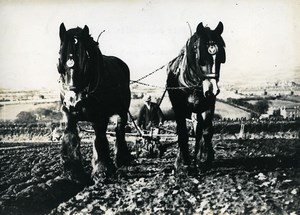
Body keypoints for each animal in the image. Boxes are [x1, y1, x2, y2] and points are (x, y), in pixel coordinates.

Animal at [57, 23, 132, 181]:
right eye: (61, 56)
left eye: (86, 58)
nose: (72, 100)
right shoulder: (69, 115)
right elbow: (70, 137)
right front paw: (73, 171)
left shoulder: (100, 117)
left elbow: (99, 140)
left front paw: (102, 170)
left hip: (122, 111)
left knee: (120, 130)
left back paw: (122, 158)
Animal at [166, 21, 225, 170]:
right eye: (201, 59)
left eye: (221, 58)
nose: (212, 90)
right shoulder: (179, 108)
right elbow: (182, 133)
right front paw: (185, 163)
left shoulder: (209, 105)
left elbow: (206, 130)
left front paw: (204, 158)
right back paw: (181, 160)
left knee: (198, 130)